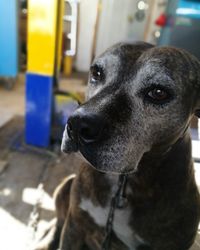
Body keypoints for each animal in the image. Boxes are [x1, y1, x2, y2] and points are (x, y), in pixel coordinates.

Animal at [35, 42, 200, 249]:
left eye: (158, 93)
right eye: (97, 72)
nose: (79, 125)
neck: (122, 184)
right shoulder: (75, 224)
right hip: (65, 186)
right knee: (59, 219)